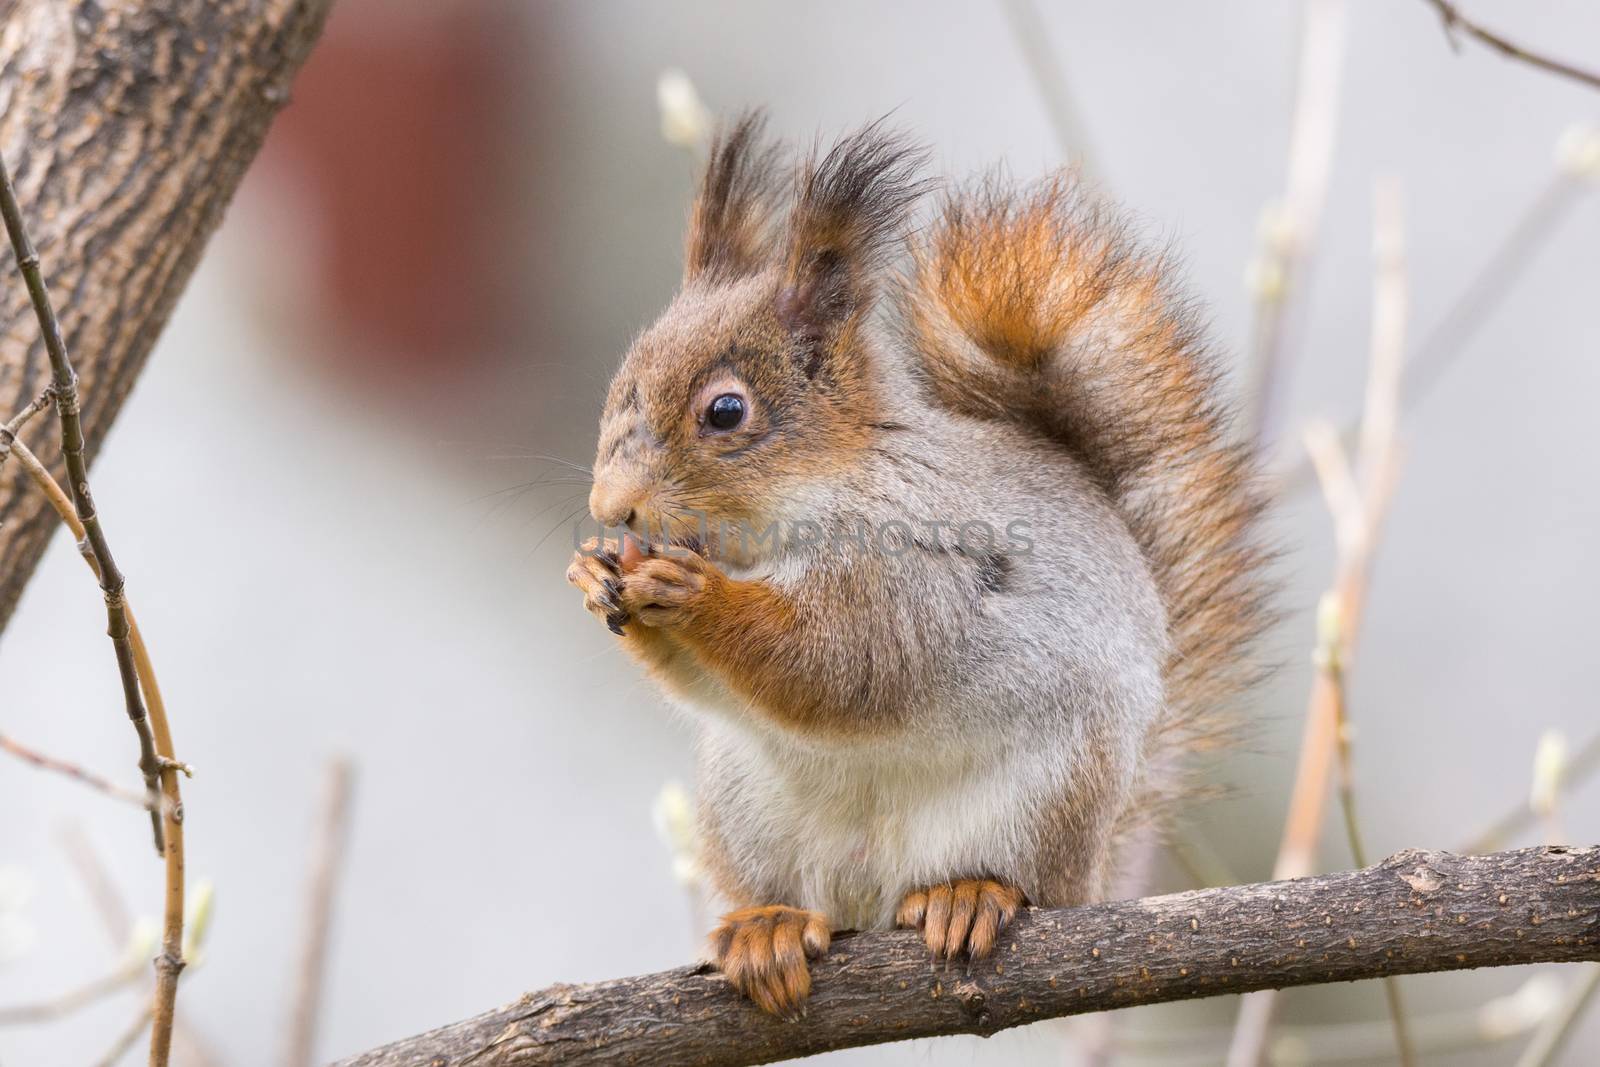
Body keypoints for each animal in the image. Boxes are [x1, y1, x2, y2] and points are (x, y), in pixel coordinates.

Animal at [569, 115, 1267, 1017]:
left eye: (725, 411)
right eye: (622, 379)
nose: (611, 506)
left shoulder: (909, 567)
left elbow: (839, 663)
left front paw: (691, 595)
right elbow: (715, 683)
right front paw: (595, 575)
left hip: (1045, 795)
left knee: (1021, 882)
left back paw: (969, 893)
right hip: (746, 810)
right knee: (800, 896)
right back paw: (768, 926)